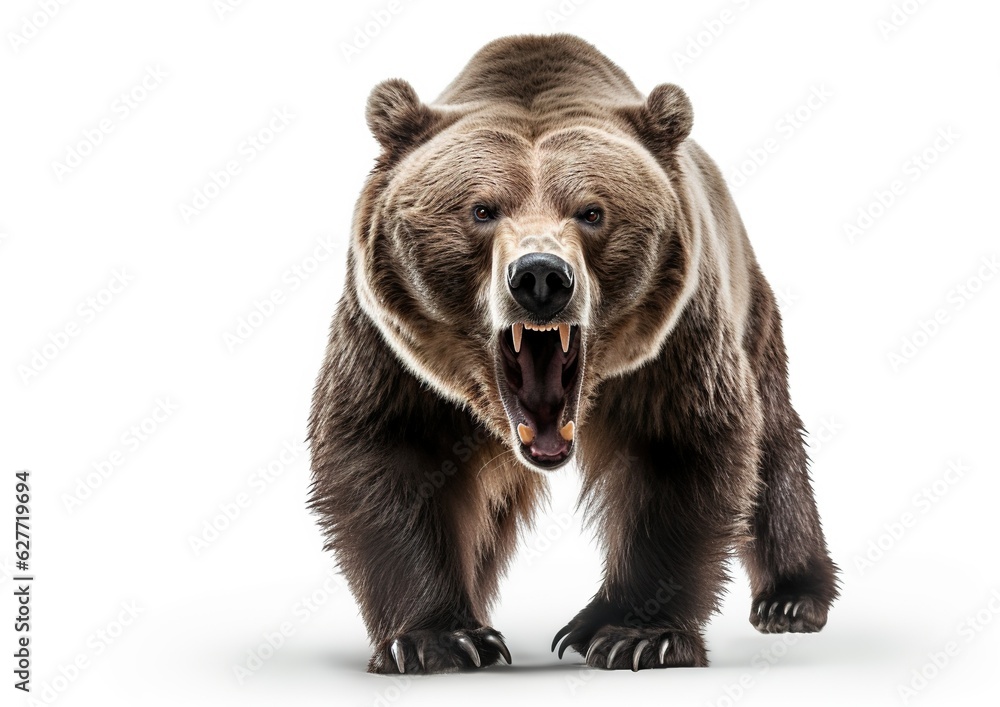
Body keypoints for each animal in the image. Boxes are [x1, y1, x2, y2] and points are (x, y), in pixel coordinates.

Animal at [308, 33, 838, 673]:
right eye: (481, 209)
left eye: (592, 212)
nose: (540, 277)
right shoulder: (391, 348)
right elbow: (390, 452)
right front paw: (440, 638)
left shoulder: (677, 344)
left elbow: (681, 450)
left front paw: (631, 633)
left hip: (748, 304)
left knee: (774, 443)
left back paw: (791, 598)